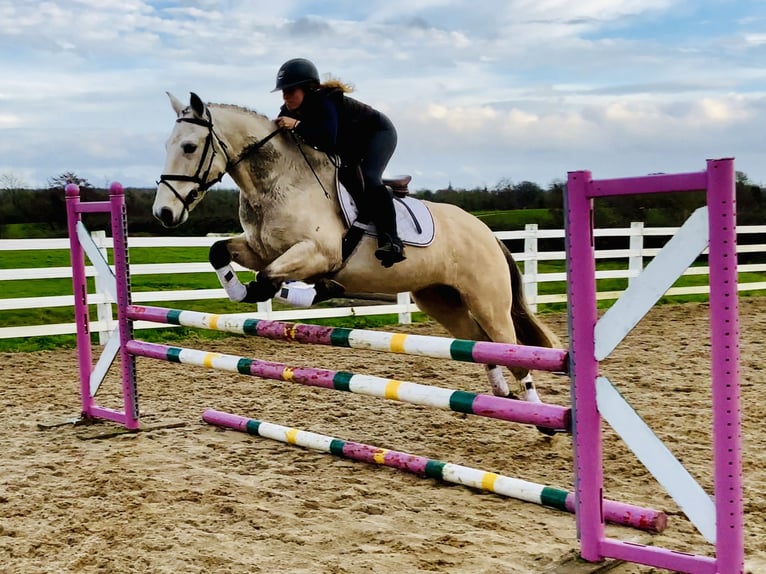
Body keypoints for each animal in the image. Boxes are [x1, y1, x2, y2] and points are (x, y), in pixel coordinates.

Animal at [153, 92, 561, 411]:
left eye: (189, 147)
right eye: (167, 146)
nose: (164, 213)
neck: (278, 183)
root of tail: (487, 233)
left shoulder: (317, 253)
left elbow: (267, 281)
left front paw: (319, 290)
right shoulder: (259, 249)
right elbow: (221, 253)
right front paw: (243, 291)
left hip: (488, 301)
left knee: (510, 349)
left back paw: (539, 417)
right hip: (440, 299)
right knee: (478, 341)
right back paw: (500, 395)